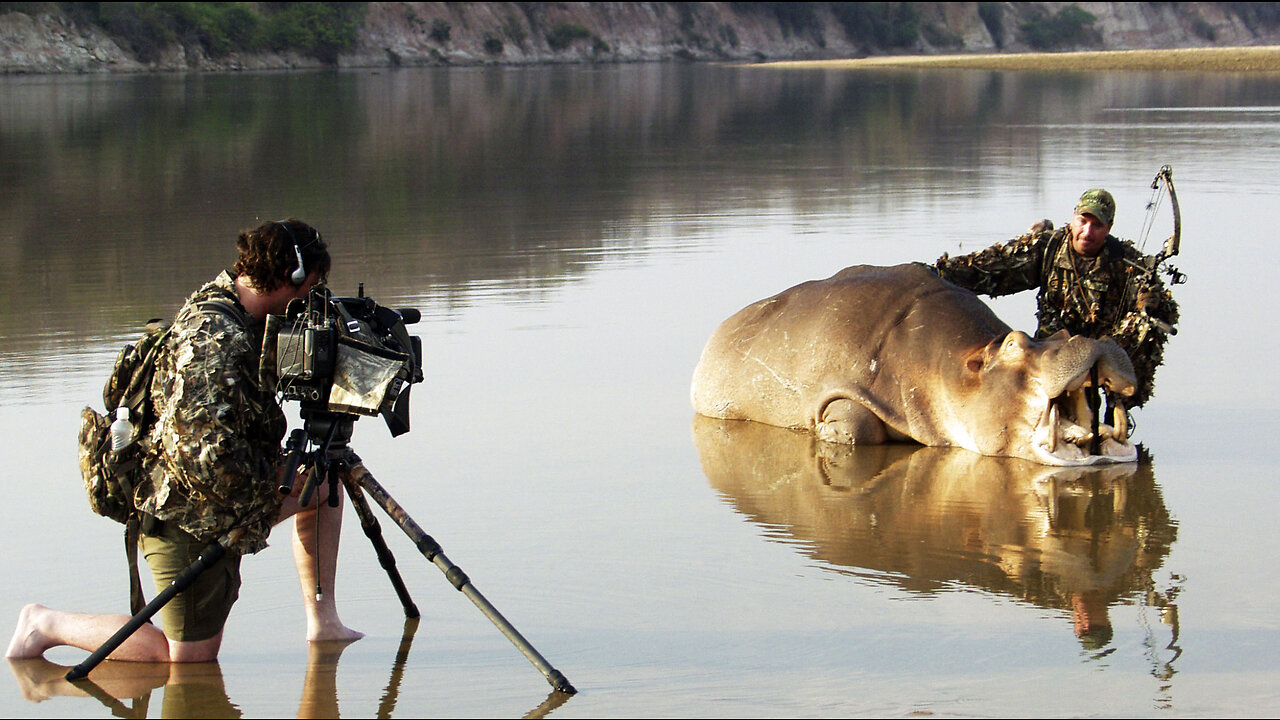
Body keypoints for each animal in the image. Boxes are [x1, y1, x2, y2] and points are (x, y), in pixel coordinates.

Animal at [691, 263, 1141, 466]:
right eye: (1014, 344)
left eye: (1063, 334)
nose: (1091, 339)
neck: (958, 369)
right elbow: (854, 426)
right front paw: (824, 431)